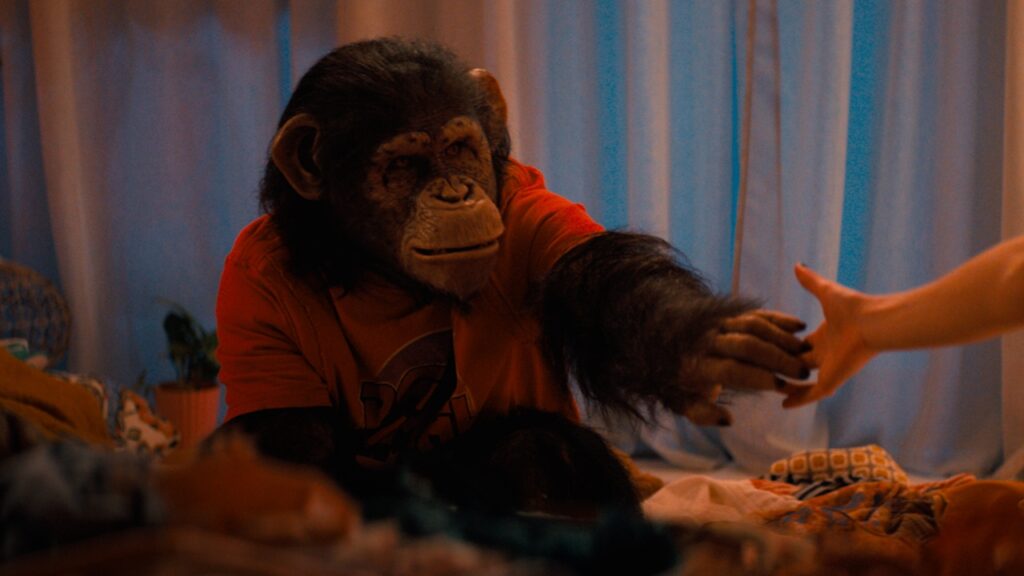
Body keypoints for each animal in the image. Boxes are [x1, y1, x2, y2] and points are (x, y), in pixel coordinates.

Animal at [213, 37, 810, 517]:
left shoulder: (536, 214)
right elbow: (297, 452)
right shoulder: (251, 289)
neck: (383, 275)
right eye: (403, 166)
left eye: (457, 148)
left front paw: (700, 347)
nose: (455, 193)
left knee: (537, 446)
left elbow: (615, 290)